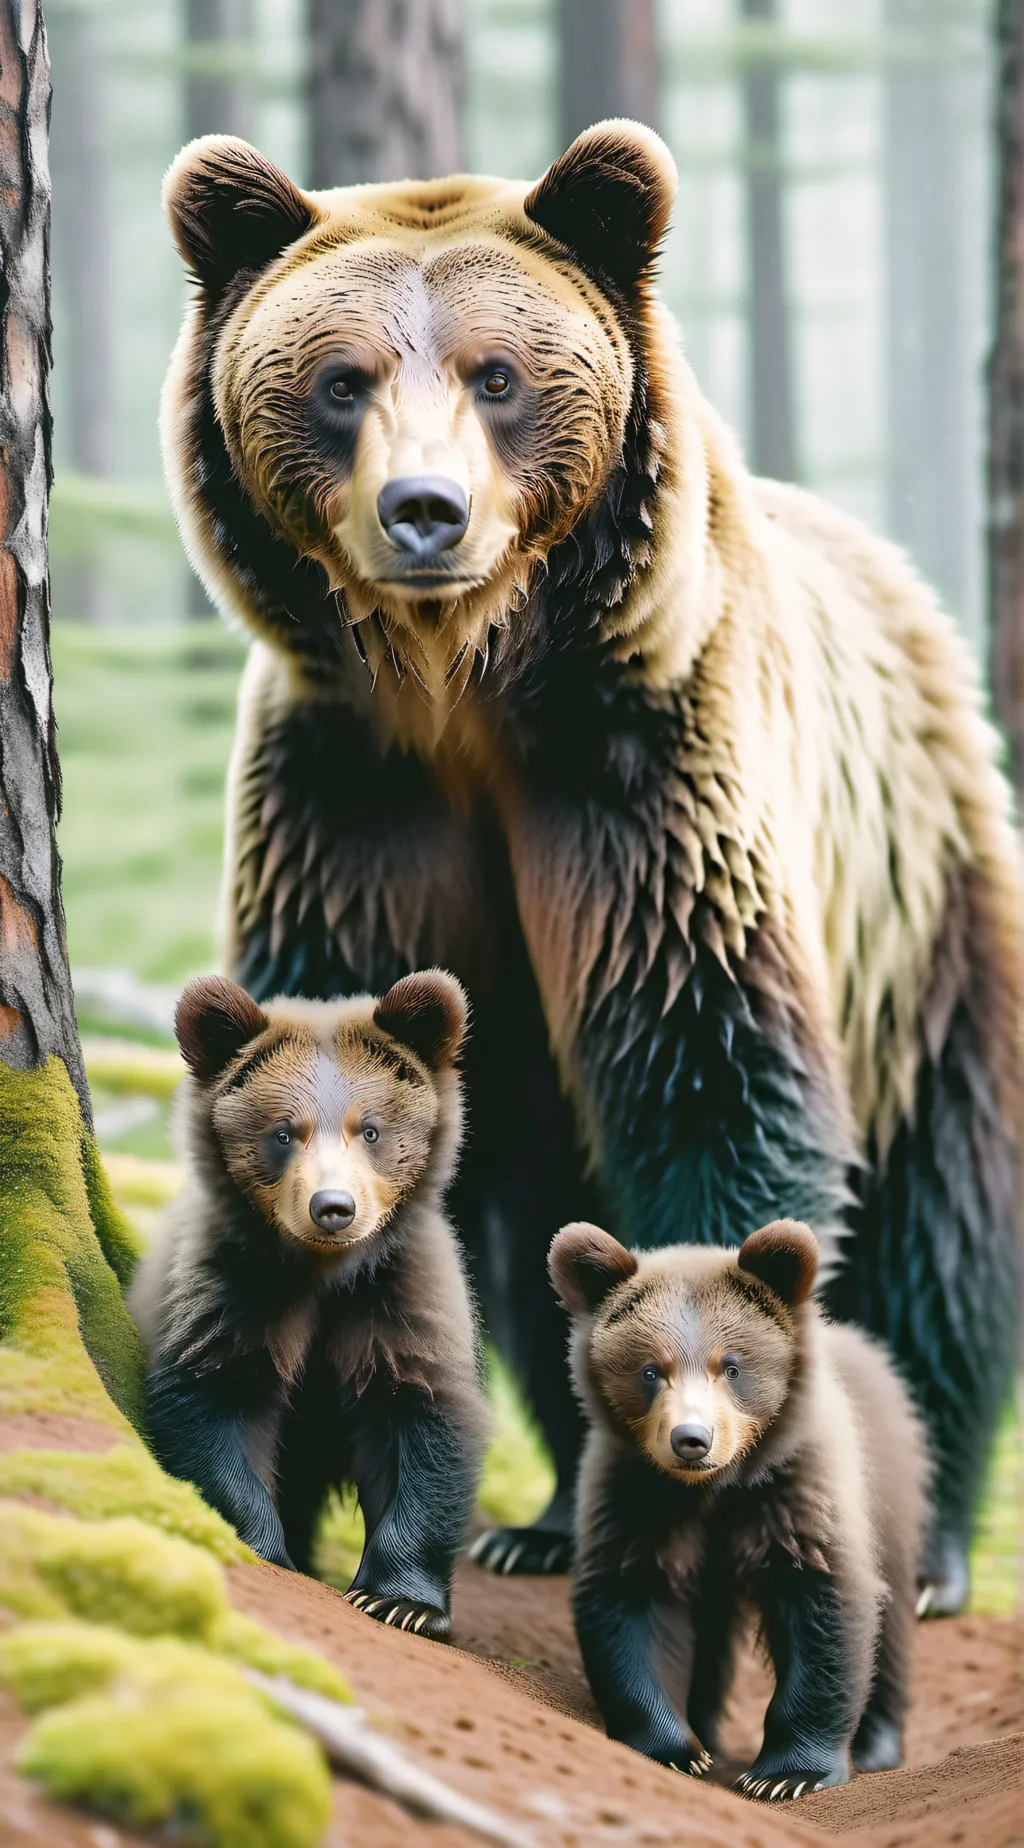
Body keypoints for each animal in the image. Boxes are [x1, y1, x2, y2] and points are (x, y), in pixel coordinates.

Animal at [129, 969, 489, 1639]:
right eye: (282, 1132)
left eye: (370, 1129)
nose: (334, 1207)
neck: (324, 1273)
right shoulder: (230, 1287)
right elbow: (214, 1403)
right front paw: (263, 1546)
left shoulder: (398, 1295)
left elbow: (424, 1420)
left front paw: (402, 1602)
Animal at [159, 119, 1021, 1609]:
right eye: (341, 379)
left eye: (497, 373)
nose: (425, 510)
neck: (470, 690)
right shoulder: (356, 808)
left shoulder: (647, 784)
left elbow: (717, 1074)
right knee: (528, 1232)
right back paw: (543, 1516)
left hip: (925, 905)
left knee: (946, 1226)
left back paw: (930, 1547)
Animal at [548, 1218, 929, 1799]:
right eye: (649, 1371)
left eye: (730, 1367)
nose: (691, 1439)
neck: (715, 1489)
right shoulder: (634, 1492)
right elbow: (630, 1602)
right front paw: (678, 1750)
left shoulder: (800, 1489)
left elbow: (825, 1606)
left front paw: (788, 1774)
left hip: (890, 1493)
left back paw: (876, 1745)